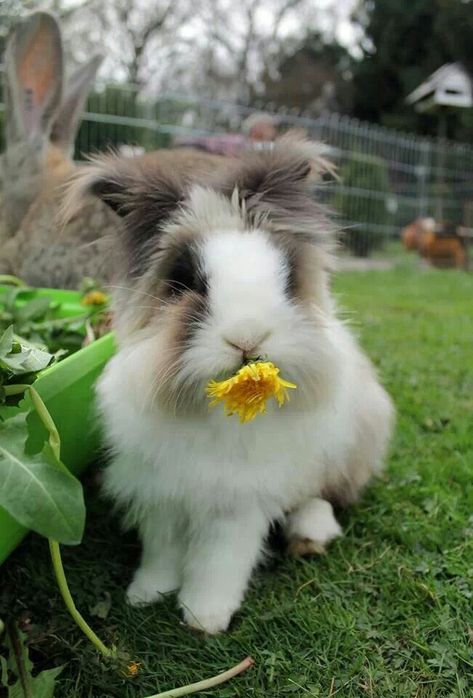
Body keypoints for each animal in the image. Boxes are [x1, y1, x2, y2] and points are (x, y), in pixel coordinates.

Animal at [64, 135, 392, 632]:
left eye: (287, 278)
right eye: (184, 281)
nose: (248, 337)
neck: (214, 413)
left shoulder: (237, 501)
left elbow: (220, 560)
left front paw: (204, 617)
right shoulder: (161, 489)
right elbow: (162, 549)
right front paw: (146, 594)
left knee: (322, 496)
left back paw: (310, 535)